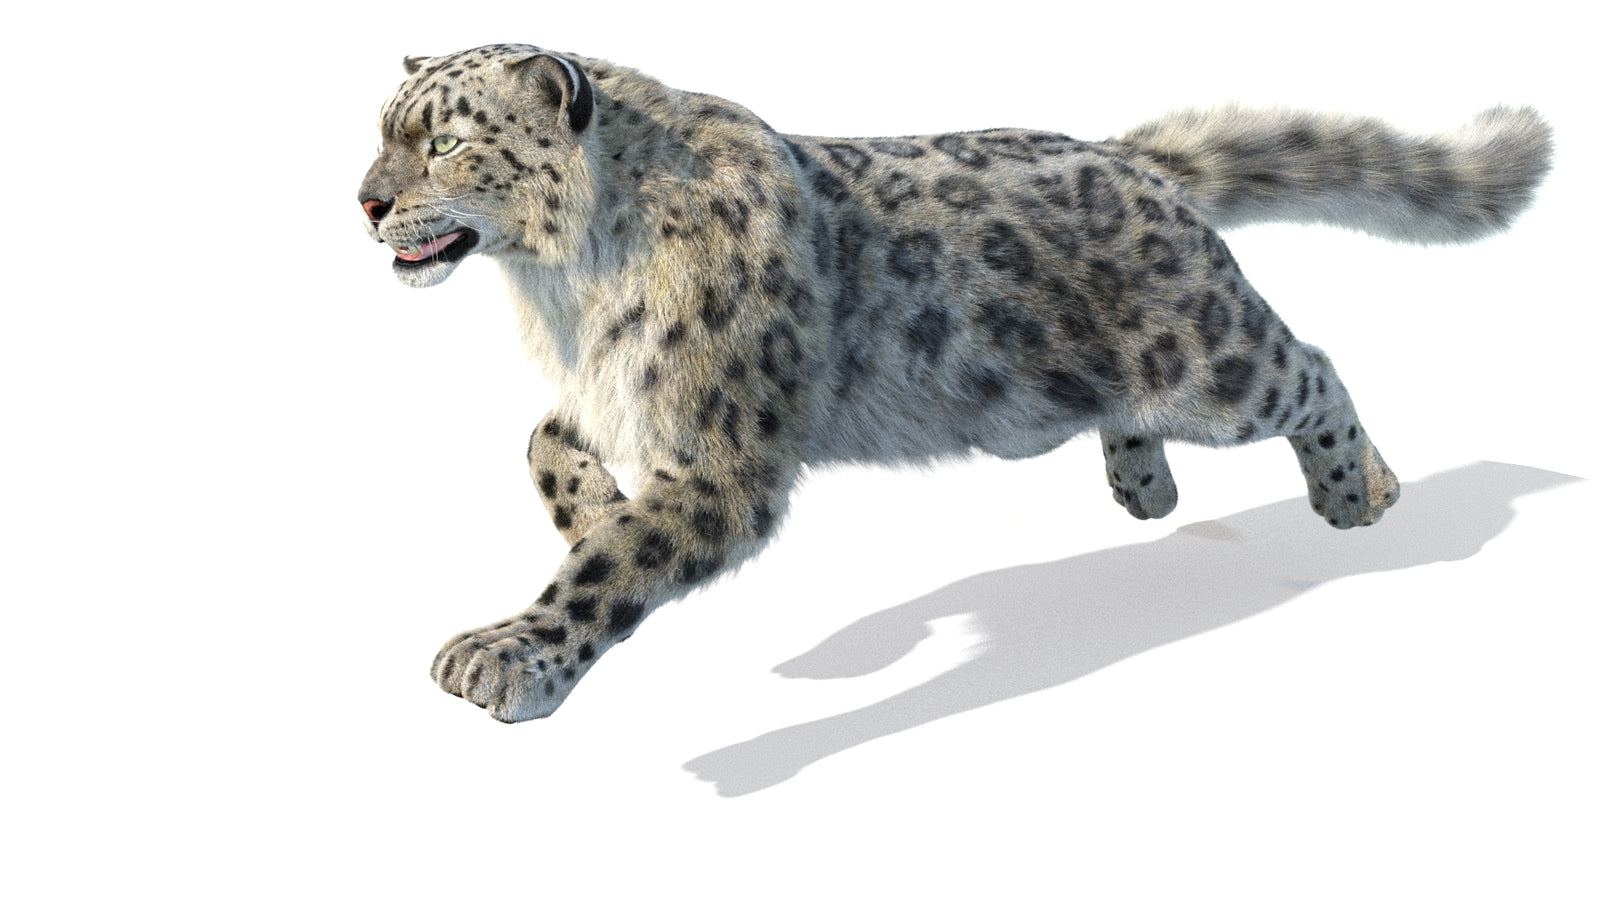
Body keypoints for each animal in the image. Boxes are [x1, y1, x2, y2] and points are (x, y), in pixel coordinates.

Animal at [357, 43, 1551, 722]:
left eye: (446, 143)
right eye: (381, 131)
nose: (365, 202)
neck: (563, 291)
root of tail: (1135, 163)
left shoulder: (723, 451)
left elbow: (611, 571)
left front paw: (507, 656)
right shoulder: (610, 395)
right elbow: (541, 445)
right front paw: (596, 509)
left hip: (1211, 363)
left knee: (1311, 367)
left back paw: (1357, 494)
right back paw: (1146, 489)